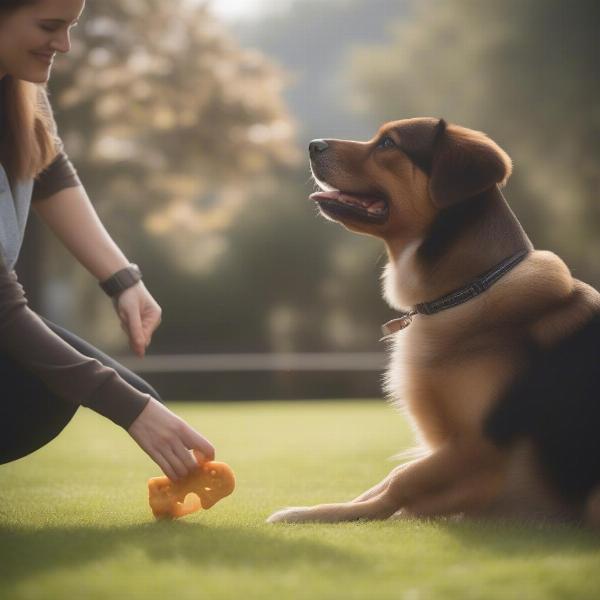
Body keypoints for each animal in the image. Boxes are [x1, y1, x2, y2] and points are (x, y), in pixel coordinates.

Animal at [268, 117, 600, 524]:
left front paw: (318, 514)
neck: (467, 290)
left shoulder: (480, 444)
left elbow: (400, 481)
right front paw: (327, 509)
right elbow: (393, 476)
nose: (312, 145)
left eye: (388, 144)